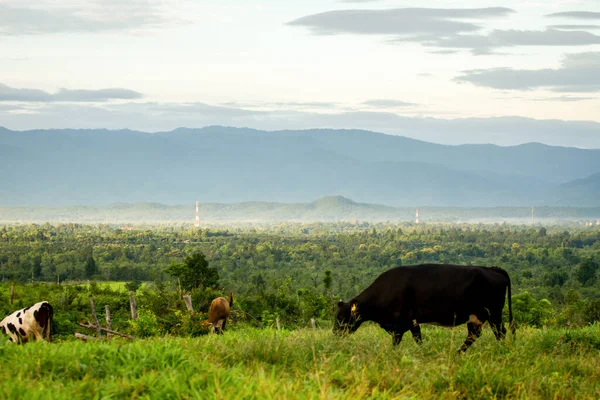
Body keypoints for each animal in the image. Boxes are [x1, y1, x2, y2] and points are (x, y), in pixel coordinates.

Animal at [336, 264, 512, 352]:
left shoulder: (400, 323)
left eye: (342, 317)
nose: (335, 333)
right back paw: (458, 353)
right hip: (476, 316)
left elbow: (397, 342)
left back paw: (501, 350)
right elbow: (418, 339)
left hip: (494, 313)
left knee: (500, 332)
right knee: (474, 334)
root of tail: (493, 269)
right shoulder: (412, 322)